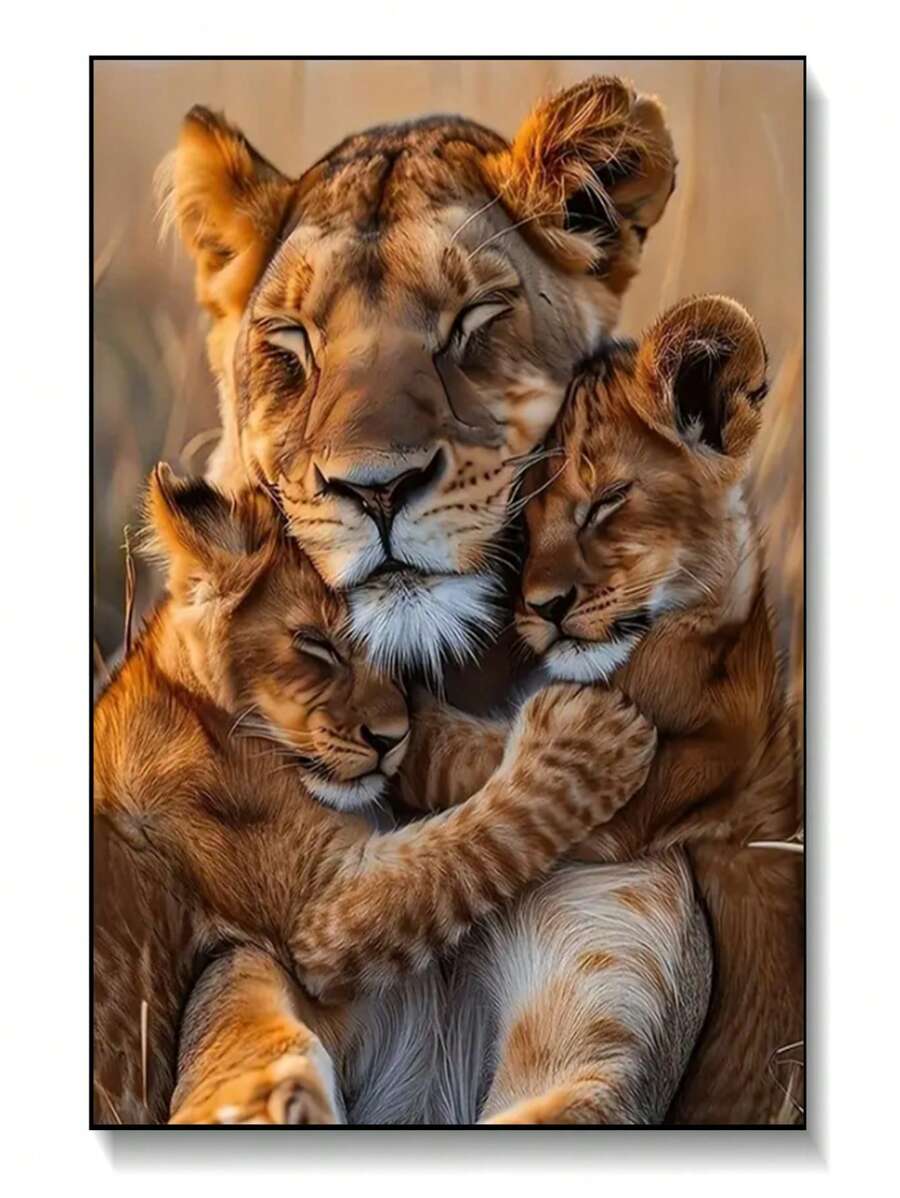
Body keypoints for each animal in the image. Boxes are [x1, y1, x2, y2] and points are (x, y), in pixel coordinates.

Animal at [92, 465, 657, 1125]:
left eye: (395, 654)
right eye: (315, 643)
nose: (387, 738)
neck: (196, 706)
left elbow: (457, 766)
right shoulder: (323, 909)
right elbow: (470, 844)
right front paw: (595, 733)